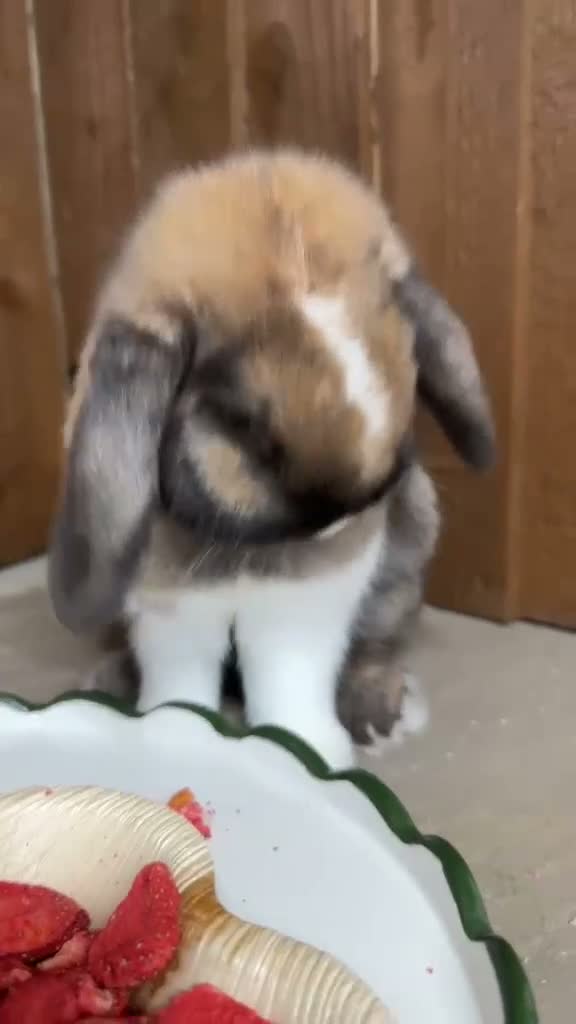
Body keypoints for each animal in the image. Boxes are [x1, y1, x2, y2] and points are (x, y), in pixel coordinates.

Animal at [48, 149, 495, 770]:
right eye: (240, 421)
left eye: (406, 362)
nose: (343, 510)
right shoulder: (169, 605)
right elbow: (180, 674)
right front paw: (173, 731)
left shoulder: (309, 597)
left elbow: (291, 672)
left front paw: (307, 750)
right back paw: (110, 683)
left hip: (409, 550)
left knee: (375, 640)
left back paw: (380, 713)